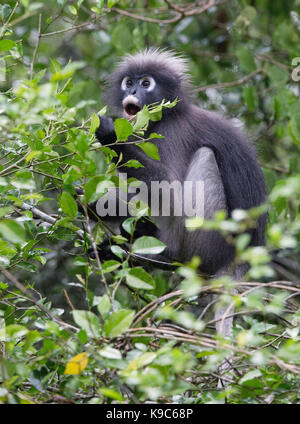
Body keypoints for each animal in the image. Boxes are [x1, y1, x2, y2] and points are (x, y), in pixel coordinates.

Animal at [89, 48, 268, 280]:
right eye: (129, 82)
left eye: (146, 83)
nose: (133, 91)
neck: (168, 115)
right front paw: (91, 204)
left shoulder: (173, 133)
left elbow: (169, 189)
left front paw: (109, 134)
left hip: (209, 245)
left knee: (204, 157)